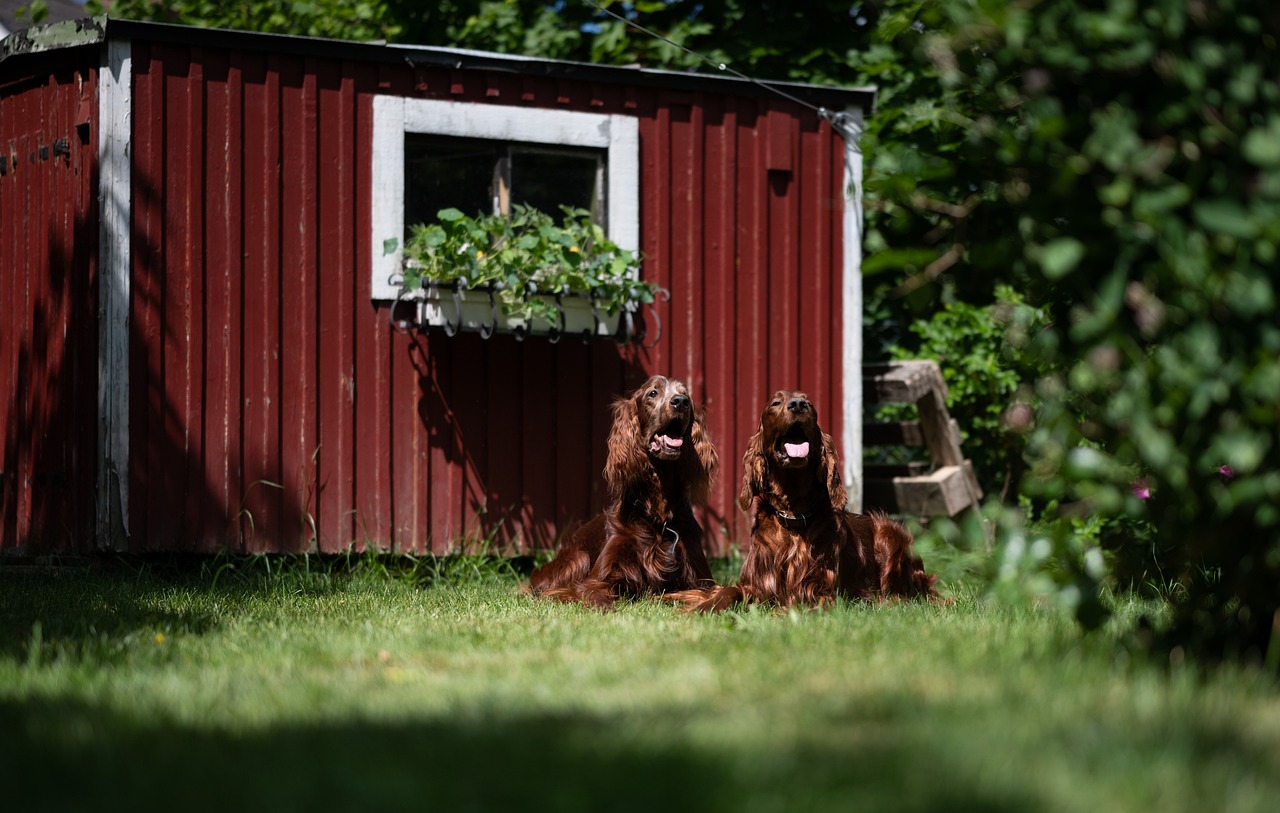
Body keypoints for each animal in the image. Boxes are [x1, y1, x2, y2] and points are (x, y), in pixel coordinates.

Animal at [522, 376, 721, 609]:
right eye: (653, 393)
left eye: (686, 394)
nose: (680, 402)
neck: (658, 516)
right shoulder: (597, 580)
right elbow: (595, 596)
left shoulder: (701, 579)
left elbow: (714, 592)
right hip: (578, 559)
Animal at [675, 391, 936, 614]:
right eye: (775, 403)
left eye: (809, 404)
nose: (798, 404)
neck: (793, 516)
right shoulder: (755, 583)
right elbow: (729, 591)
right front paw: (704, 607)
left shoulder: (819, 590)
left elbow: (798, 605)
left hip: (890, 534)